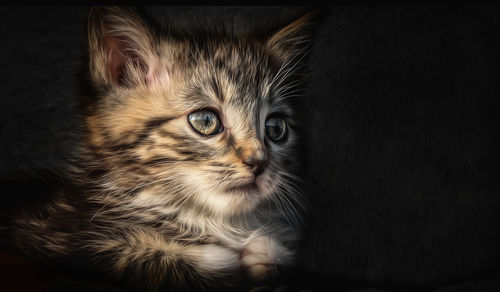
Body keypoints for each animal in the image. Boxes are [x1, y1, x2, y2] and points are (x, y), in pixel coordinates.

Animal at [1, 6, 316, 292]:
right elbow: (131, 257)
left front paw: (268, 253)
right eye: (206, 121)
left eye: (276, 128)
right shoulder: (55, 236)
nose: (259, 162)